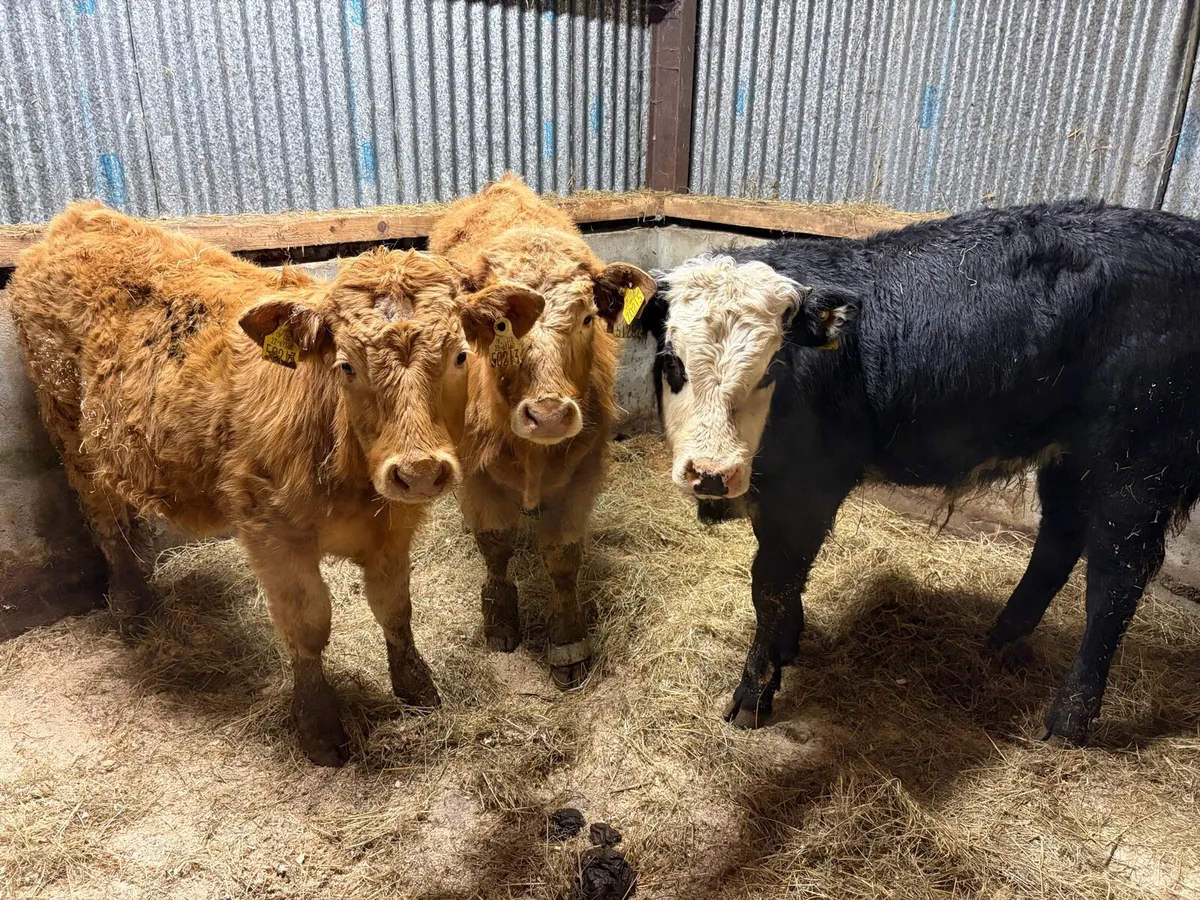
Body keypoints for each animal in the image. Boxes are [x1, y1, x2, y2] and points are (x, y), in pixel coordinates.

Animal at [9, 202, 543, 766]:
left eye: (460, 355)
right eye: (346, 365)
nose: (418, 470)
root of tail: (80, 216)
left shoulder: (394, 527)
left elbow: (395, 610)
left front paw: (418, 690)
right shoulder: (271, 534)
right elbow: (307, 627)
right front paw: (319, 728)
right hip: (71, 435)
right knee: (104, 520)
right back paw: (132, 609)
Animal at [429, 174, 656, 688]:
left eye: (588, 318)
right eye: (500, 323)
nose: (549, 415)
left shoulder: (583, 472)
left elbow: (562, 555)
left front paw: (568, 641)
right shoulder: (476, 474)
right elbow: (495, 545)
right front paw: (499, 621)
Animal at [640, 200, 1200, 744]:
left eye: (771, 370)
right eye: (672, 363)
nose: (712, 473)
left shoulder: (813, 487)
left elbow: (771, 583)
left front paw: (755, 693)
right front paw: (787, 646)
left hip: (1138, 466)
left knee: (1114, 583)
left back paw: (1068, 721)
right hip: (1070, 455)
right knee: (1057, 542)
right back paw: (999, 639)